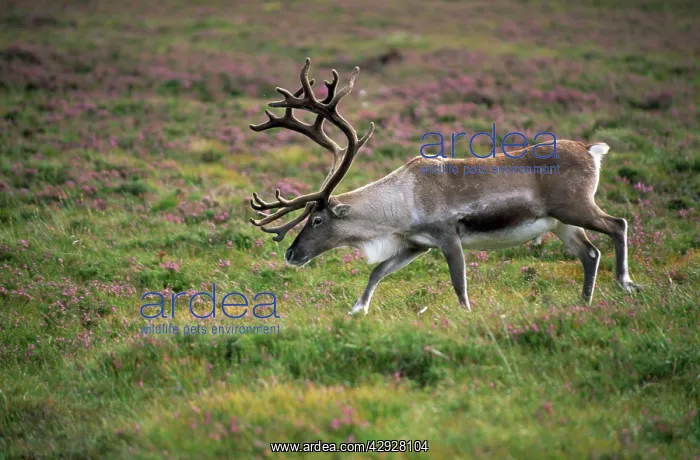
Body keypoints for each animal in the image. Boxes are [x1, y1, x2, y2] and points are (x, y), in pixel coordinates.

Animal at [248, 58, 638, 315]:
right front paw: (357, 310)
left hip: (575, 206)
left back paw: (624, 282)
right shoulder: (416, 244)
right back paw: (584, 302)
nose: (290, 254)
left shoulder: (449, 235)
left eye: (317, 220)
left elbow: (459, 283)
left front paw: (466, 315)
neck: (400, 204)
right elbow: (377, 271)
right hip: (561, 223)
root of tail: (592, 150)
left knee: (617, 224)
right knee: (590, 253)